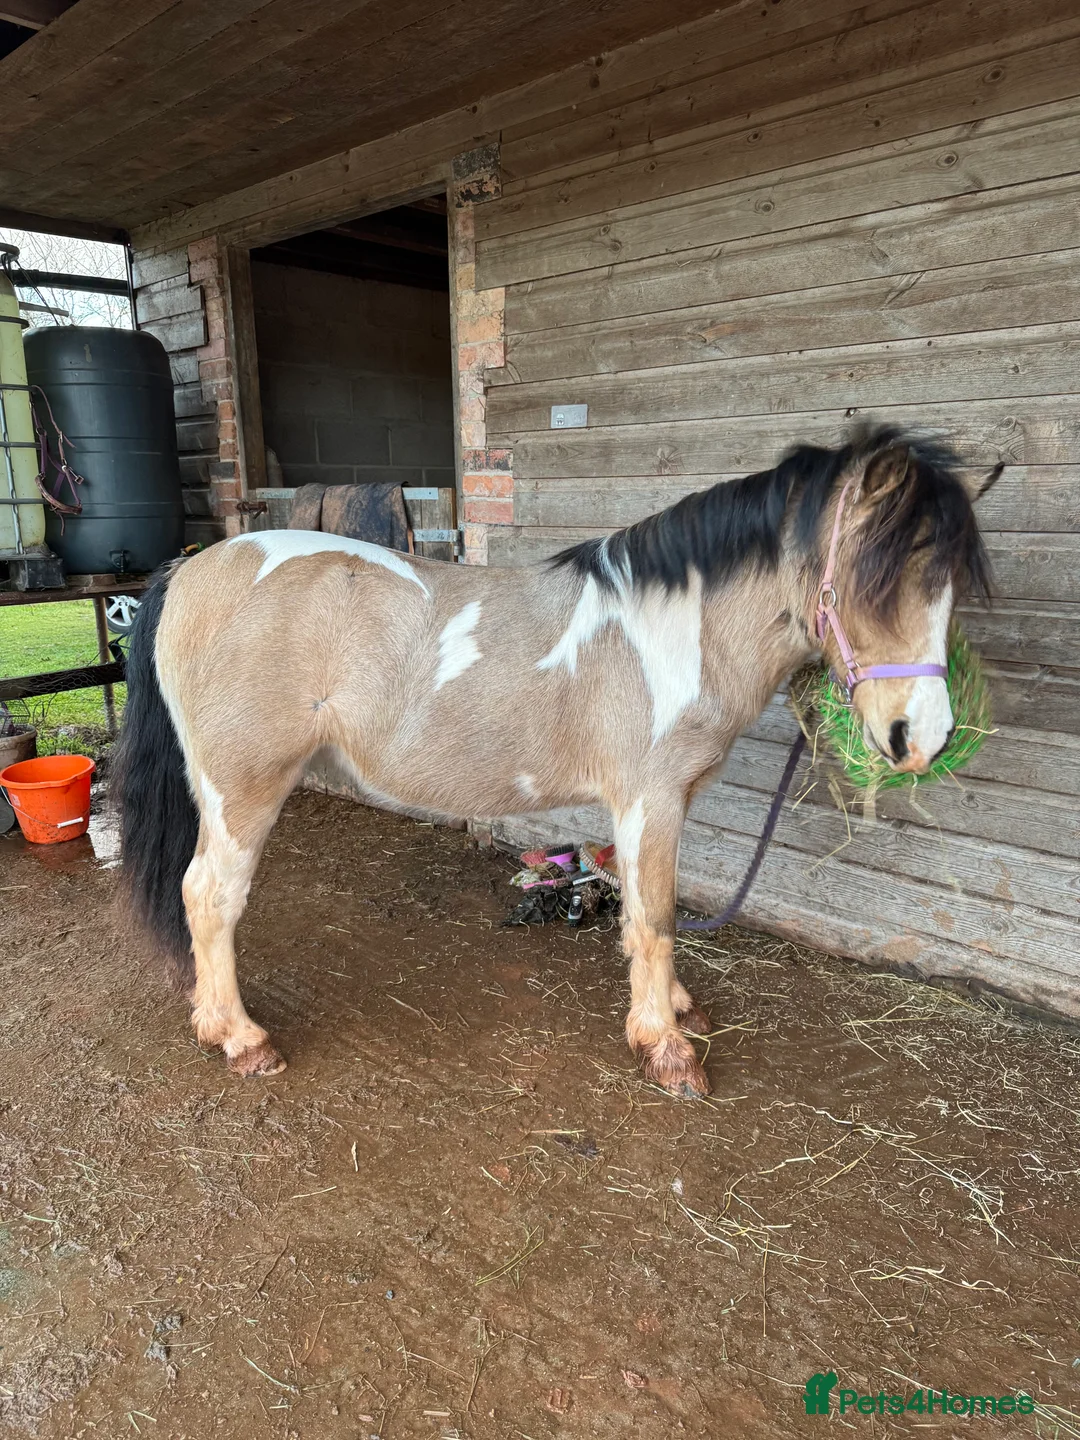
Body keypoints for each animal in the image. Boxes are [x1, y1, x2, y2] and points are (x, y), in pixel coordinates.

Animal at [114, 424, 993, 1097]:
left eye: (951, 582)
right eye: (879, 577)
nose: (922, 738)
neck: (673, 630)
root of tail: (191, 570)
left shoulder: (662, 804)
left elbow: (645, 909)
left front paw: (676, 1009)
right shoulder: (649, 799)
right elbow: (656, 918)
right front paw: (665, 1047)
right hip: (242, 791)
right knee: (209, 898)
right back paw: (241, 1038)